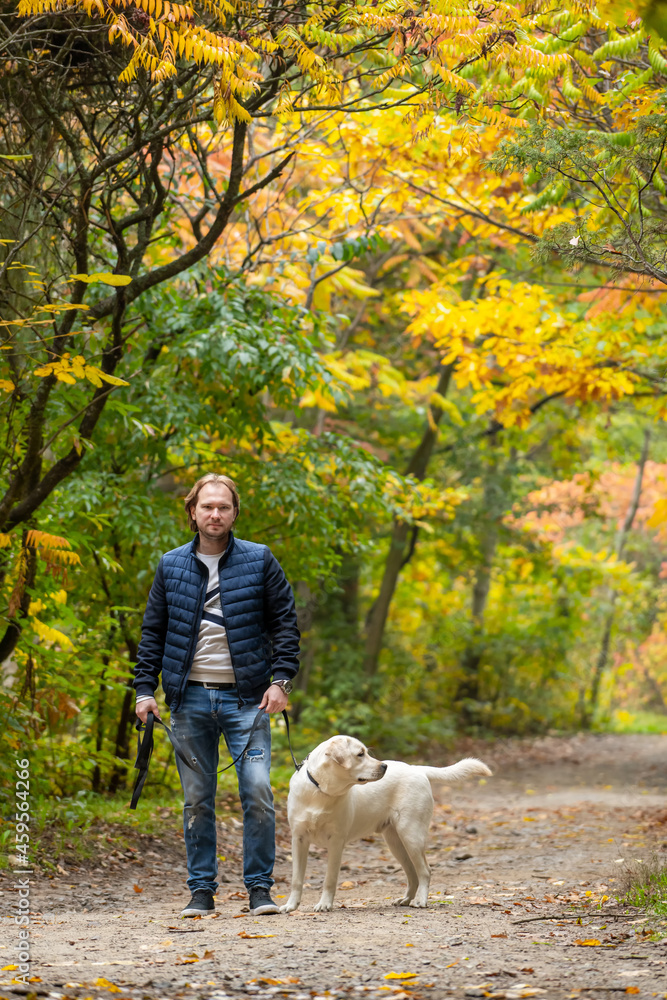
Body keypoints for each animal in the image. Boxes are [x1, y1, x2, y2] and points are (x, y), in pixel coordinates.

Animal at [280, 736, 494, 916]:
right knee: (412, 873)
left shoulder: (336, 842)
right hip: (395, 842)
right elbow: (296, 879)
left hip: (411, 835)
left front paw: (324, 904)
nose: (384, 766)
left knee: (425, 870)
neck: (321, 792)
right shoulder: (298, 839)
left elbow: (329, 879)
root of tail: (417, 769)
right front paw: (291, 906)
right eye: (360, 754)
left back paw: (420, 900)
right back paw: (406, 899)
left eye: (366, 752)